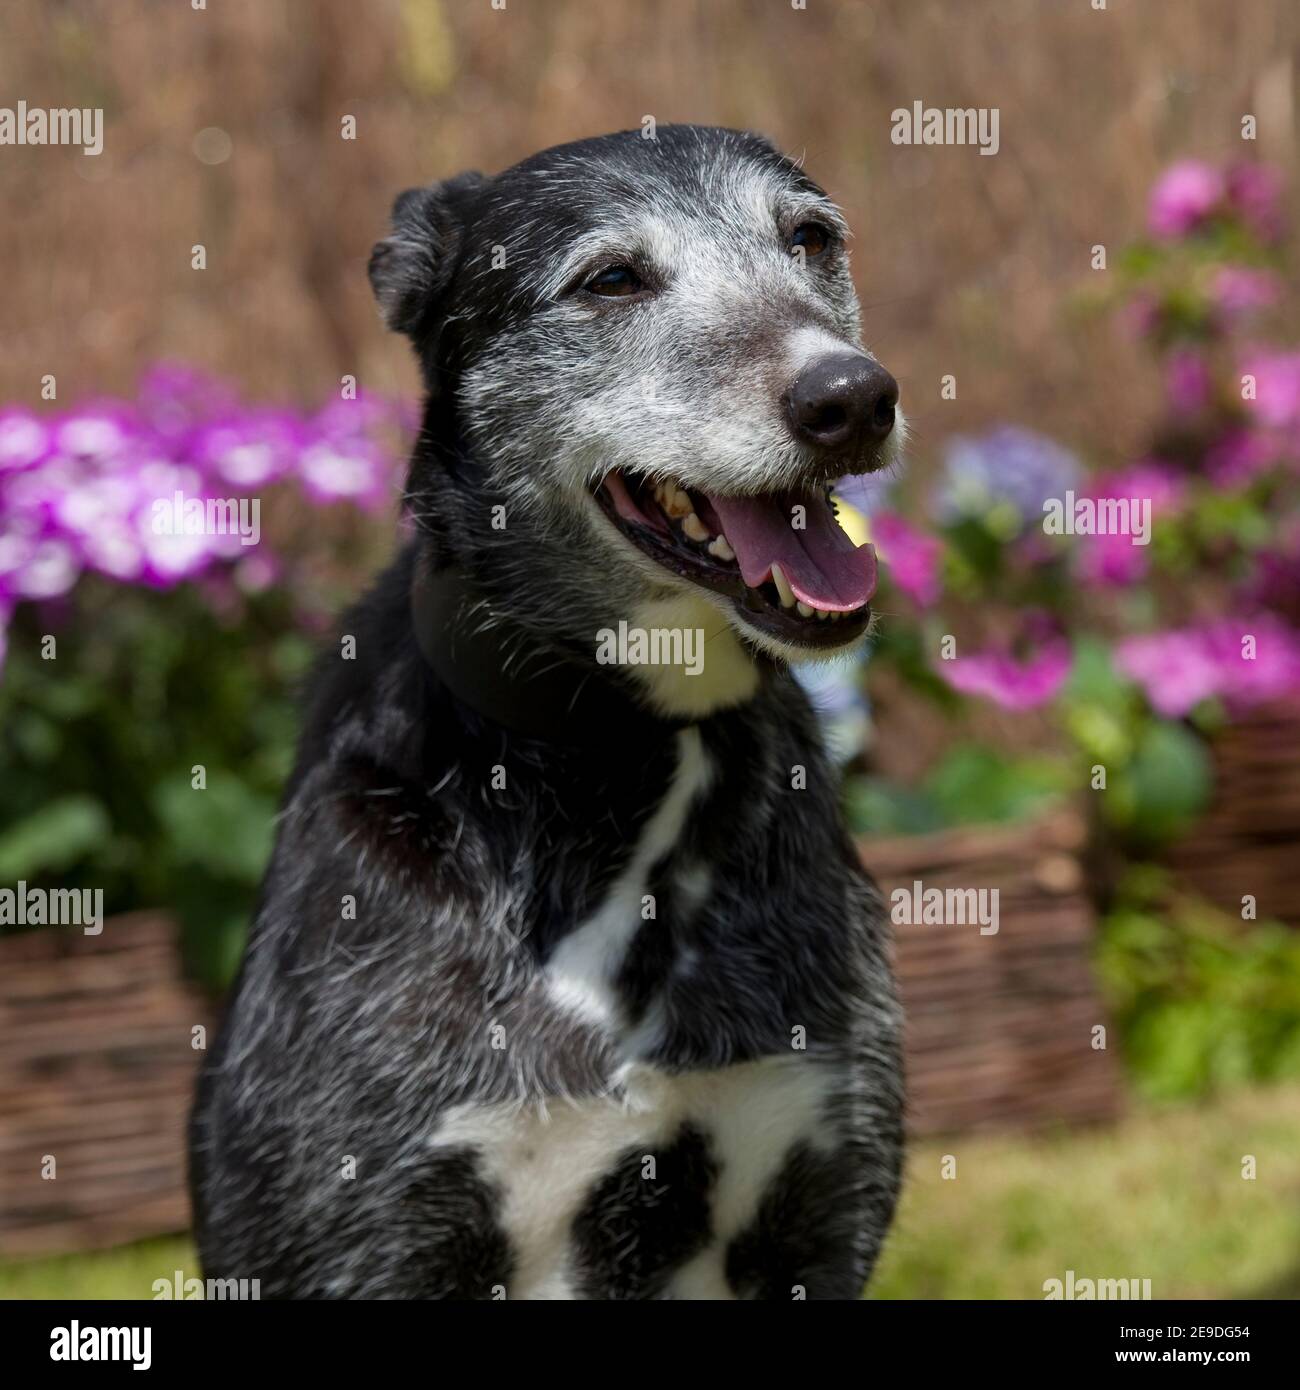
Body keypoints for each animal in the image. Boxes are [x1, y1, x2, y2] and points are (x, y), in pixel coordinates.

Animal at [190, 125, 906, 1295]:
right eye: (610, 280)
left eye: (810, 238)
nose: (850, 396)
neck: (630, 747)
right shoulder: (368, 1227)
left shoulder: (818, 1192)